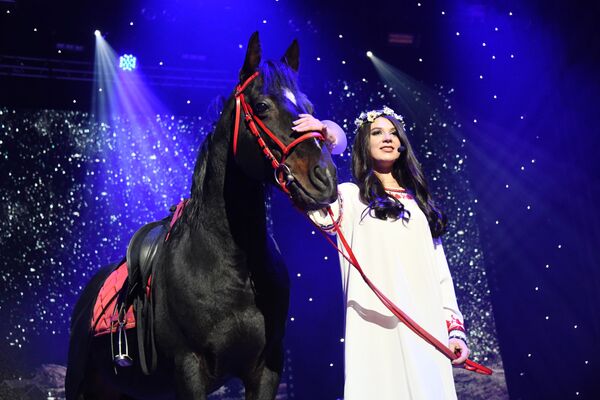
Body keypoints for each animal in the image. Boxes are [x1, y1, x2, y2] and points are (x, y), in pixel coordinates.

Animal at [67, 32, 338, 400]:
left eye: (309, 108)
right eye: (262, 106)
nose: (325, 178)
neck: (232, 267)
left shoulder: (266, 369)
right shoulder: (190, 369)